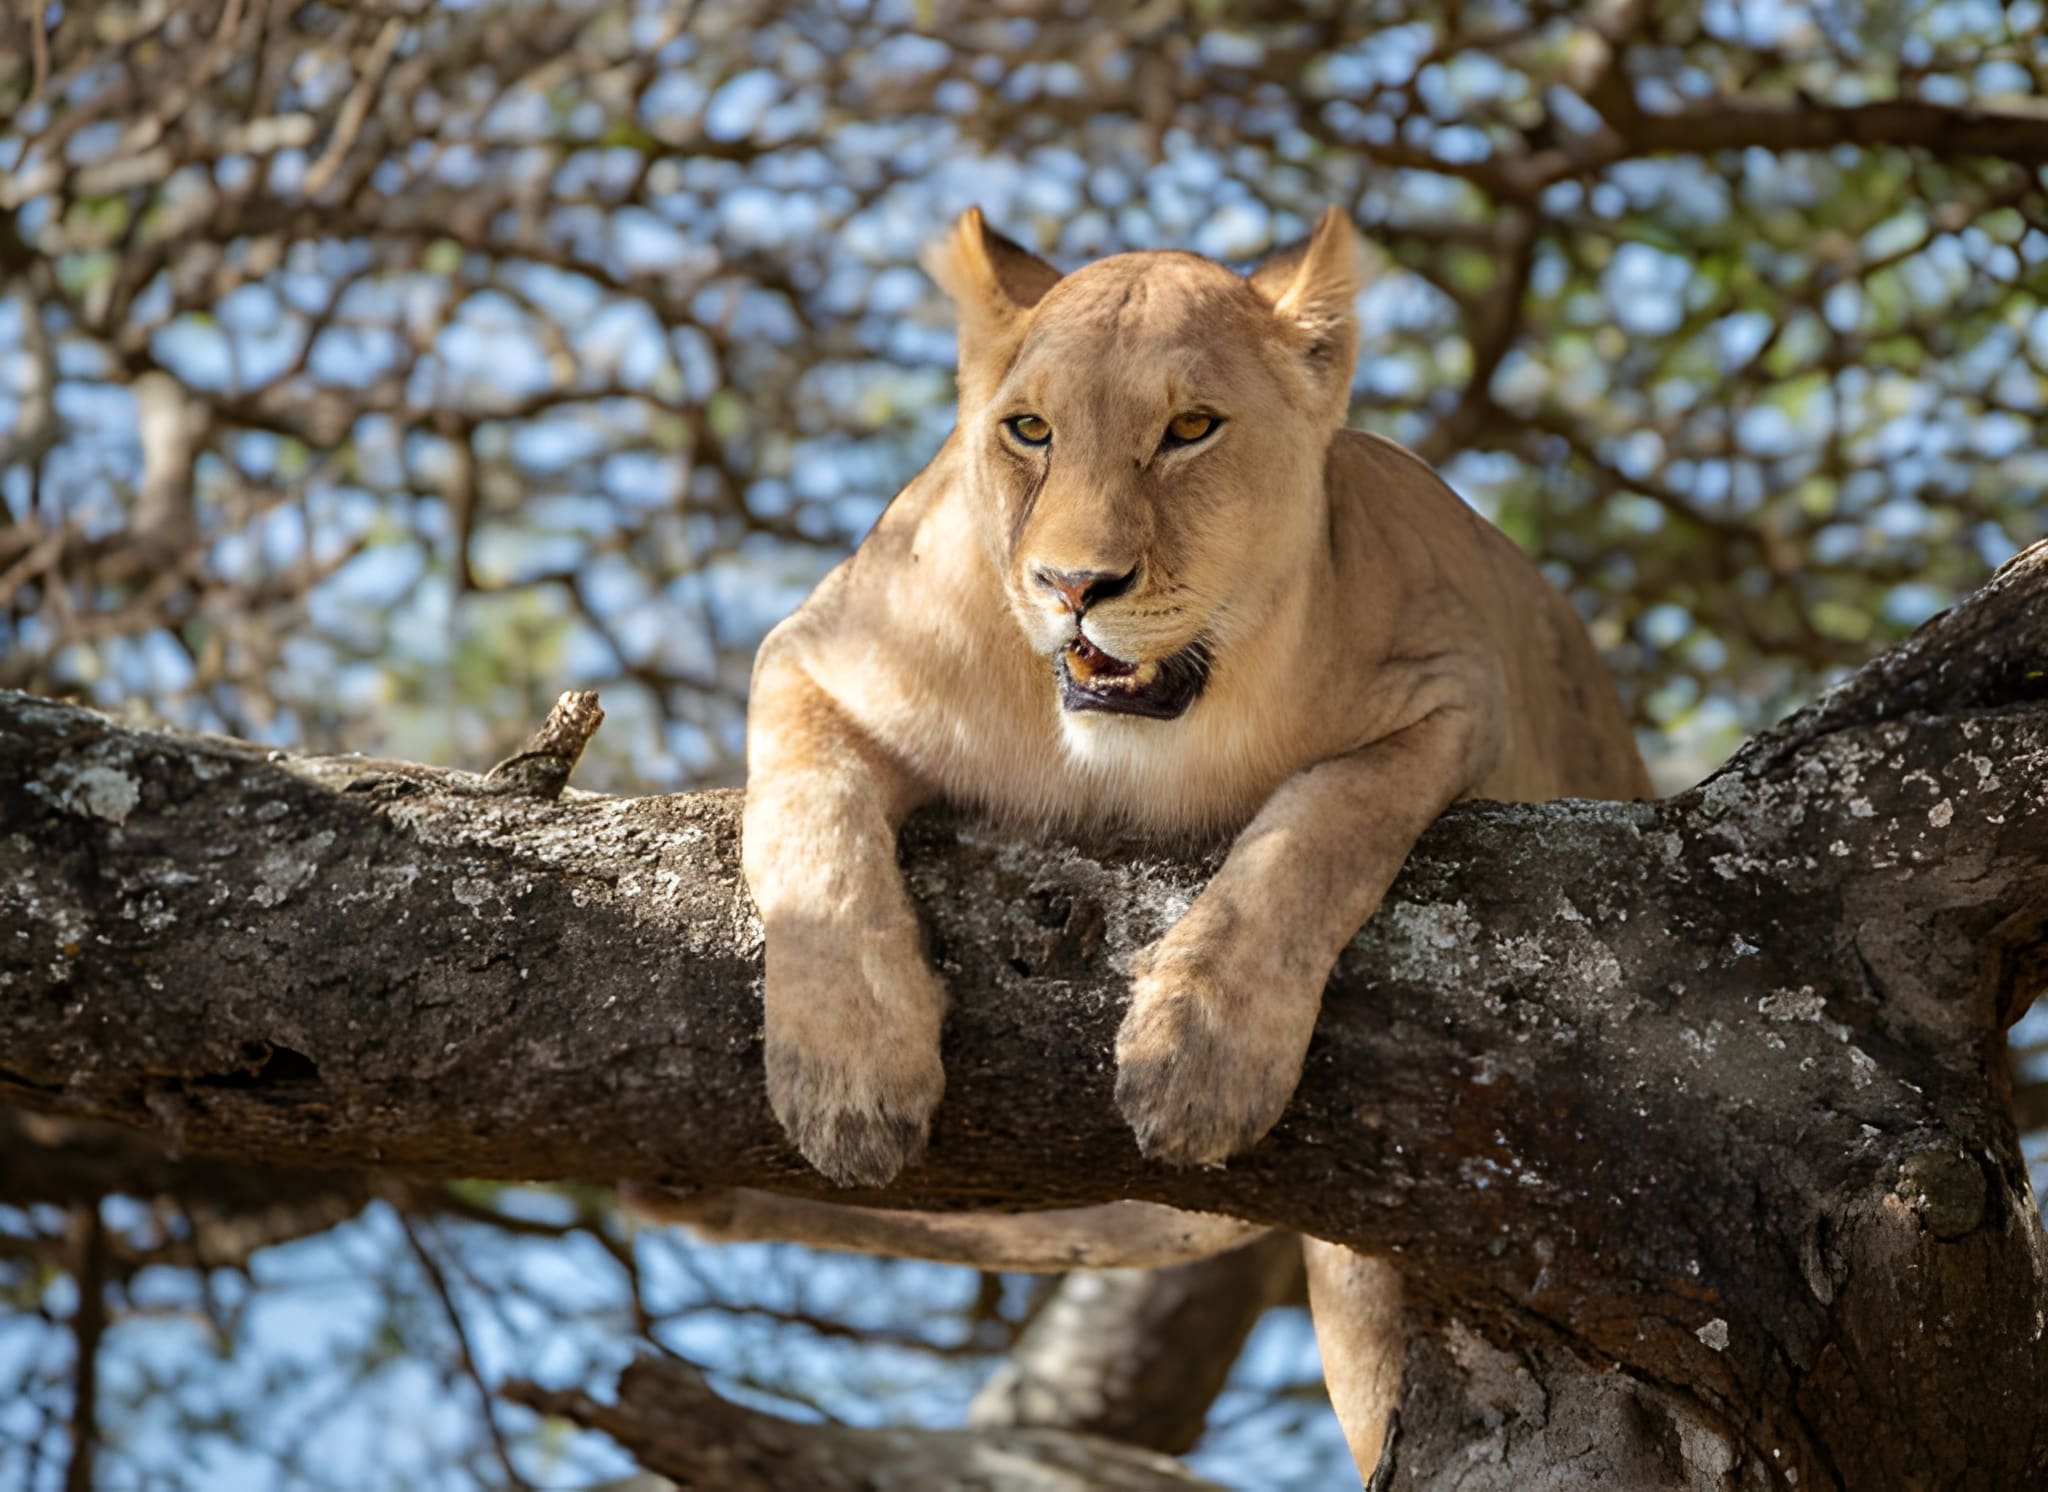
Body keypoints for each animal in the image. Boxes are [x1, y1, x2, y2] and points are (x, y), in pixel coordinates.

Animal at [670, 207, 1651, 1476]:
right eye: (1028, 430)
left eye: (1189, 431)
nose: (1072, 584)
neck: (1126, 745)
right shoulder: (814, 649)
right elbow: (809, 822)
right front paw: (848, 1076)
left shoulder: (1453, 693)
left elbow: (1314, 827)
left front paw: (1197, 1054)